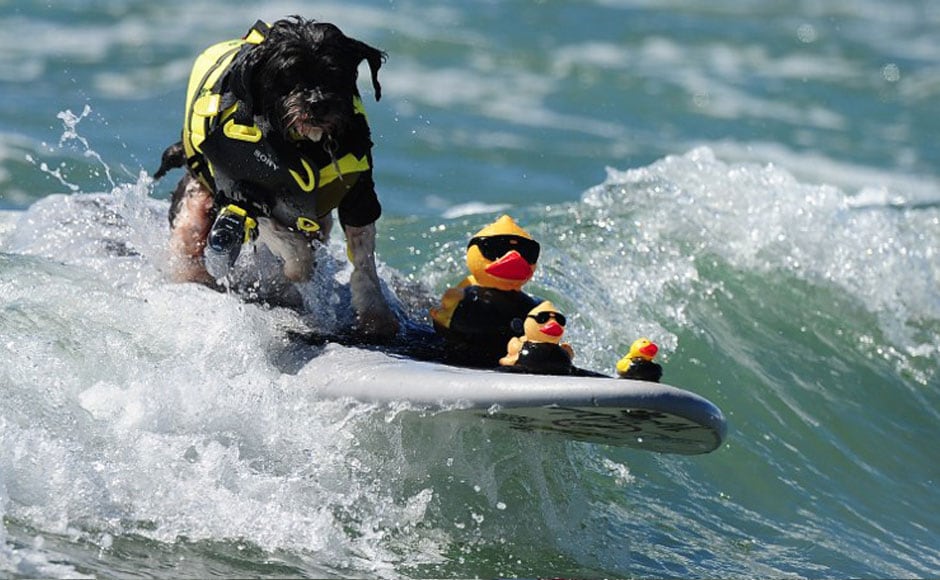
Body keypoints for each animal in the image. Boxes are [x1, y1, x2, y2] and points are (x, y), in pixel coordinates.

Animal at [156, 15, 398, 338]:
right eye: (287, 76)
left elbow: (363, 259)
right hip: (195, 205)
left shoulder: (359, 196)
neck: (309, 148)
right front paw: (299, 268)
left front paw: (376, 315)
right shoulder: (243, 196)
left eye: (334, 72)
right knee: (189, 237)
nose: (317, 103)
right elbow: (288, 241)